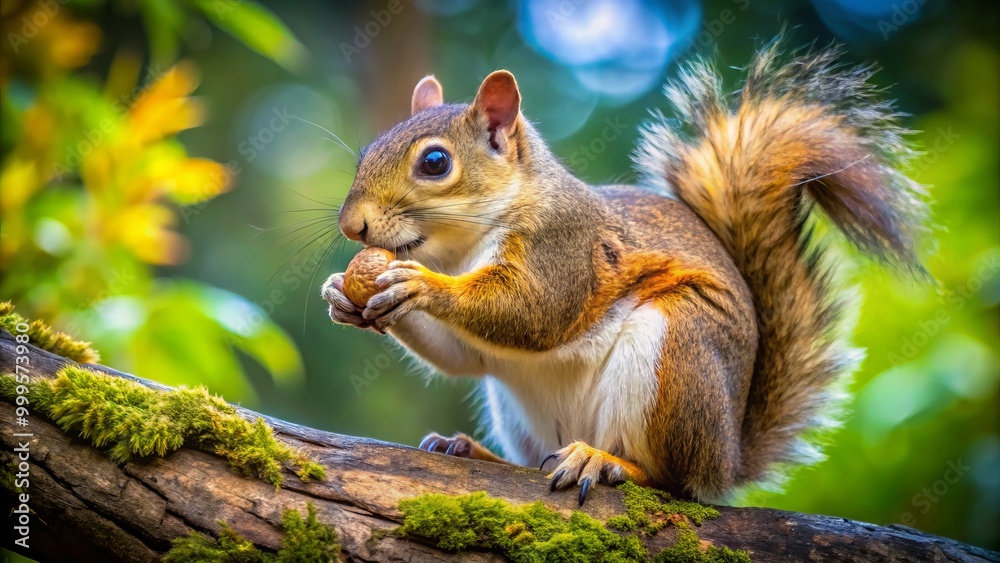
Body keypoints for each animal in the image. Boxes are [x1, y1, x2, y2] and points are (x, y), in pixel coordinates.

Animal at [321, 37, 926, 503]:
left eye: (435, 162)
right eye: (366, 152)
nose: (352, 227)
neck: (458, 250)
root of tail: (727, 460)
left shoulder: (565, 248)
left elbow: (531, 313)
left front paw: (418, 285)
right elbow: (461, 356)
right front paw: (342, 295)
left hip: (676, 352)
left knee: (670, 481)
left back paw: (605, 462)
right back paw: (473, 450)